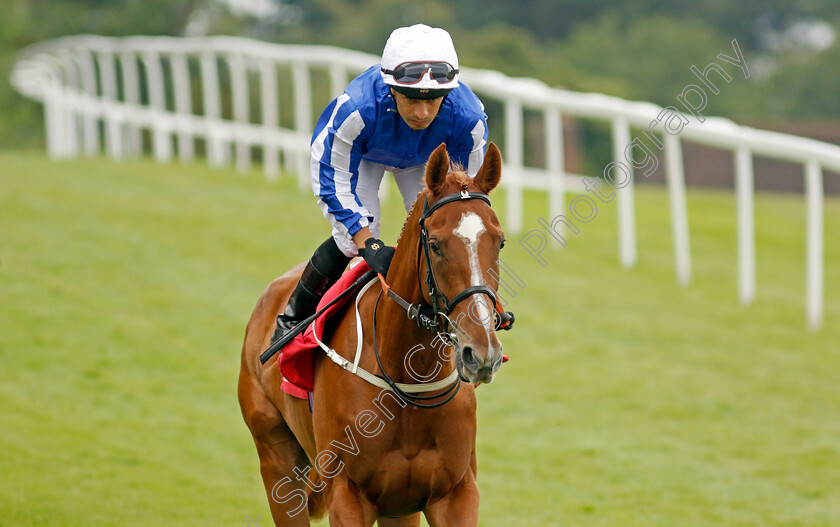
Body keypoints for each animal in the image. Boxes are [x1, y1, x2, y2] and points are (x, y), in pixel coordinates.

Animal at [240, 144, 508, 527]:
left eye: (499, 242)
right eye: (436, 245)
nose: (482, 352)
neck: (408, 377)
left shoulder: (454, 494)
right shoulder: (347, 495)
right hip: (277, 461)